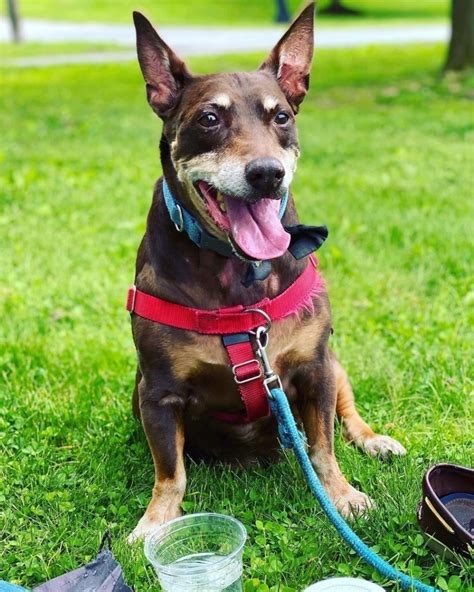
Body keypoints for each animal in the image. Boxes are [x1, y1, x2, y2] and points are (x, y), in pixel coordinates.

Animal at [128, 3, 406, 544]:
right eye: (209, 118)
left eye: (281, 116)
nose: (266, 173)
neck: (236, 271)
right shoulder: (157, 390)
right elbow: (170, 471)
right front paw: (156, 522)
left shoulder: (315, 368)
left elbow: (323, 447)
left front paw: (341, 497)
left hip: (336, 364)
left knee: (347, 416)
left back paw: (373, 440)